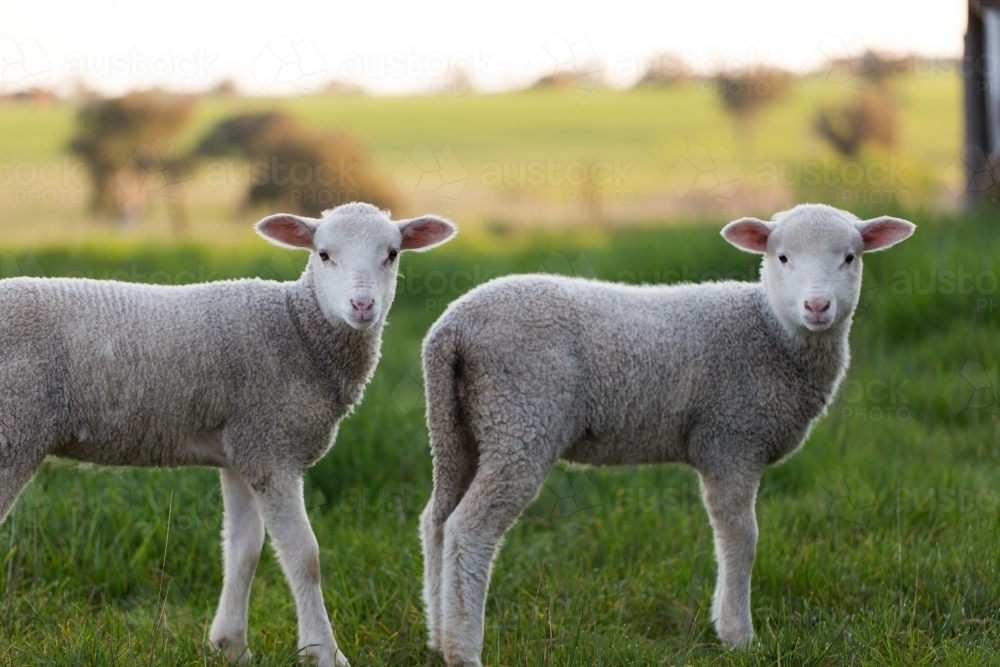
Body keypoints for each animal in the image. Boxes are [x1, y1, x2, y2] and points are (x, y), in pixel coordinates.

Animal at [0, 202, 458, 667]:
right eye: (324, 254)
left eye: (392, 254)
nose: (362, 305)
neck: (298, 329)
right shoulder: (271, 445)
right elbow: (303, 555)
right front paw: (324, 652)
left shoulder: (243, 448)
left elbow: (244, 547)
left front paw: (231, 645)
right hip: (15, 429)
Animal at [418, 205, 916, 667]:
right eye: (782, 257)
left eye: (850, 257)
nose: (817, 307)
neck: (771, 331)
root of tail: (450, 330)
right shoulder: (731, 438)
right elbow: (741, 536)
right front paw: (739, 636)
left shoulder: (728, 440)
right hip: (521, 420)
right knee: (469, 527)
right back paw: (463, 649)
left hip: (459, 426)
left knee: (436, 520)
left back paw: (438, 637)